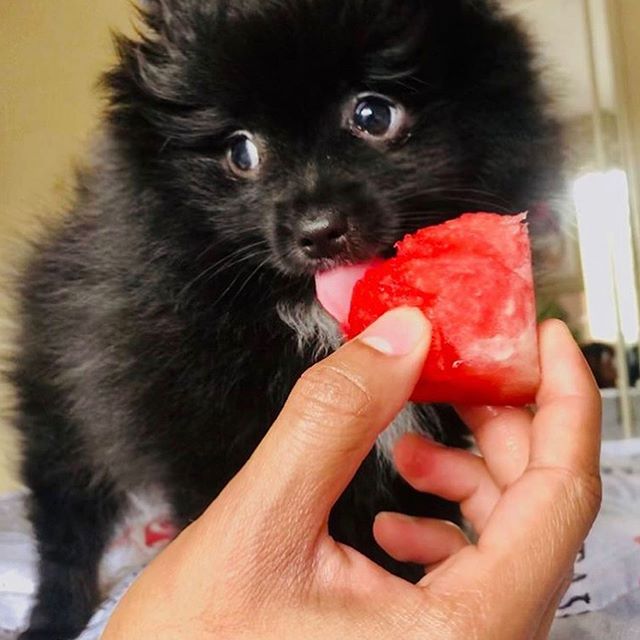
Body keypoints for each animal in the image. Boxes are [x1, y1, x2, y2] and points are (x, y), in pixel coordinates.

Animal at [11, 0, 560, 636]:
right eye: (241, 153)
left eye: (373, 114)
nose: (318, 229)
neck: (306, 314)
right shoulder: (208, 437)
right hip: (59, 416)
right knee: (65, 525)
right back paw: (54, 615)